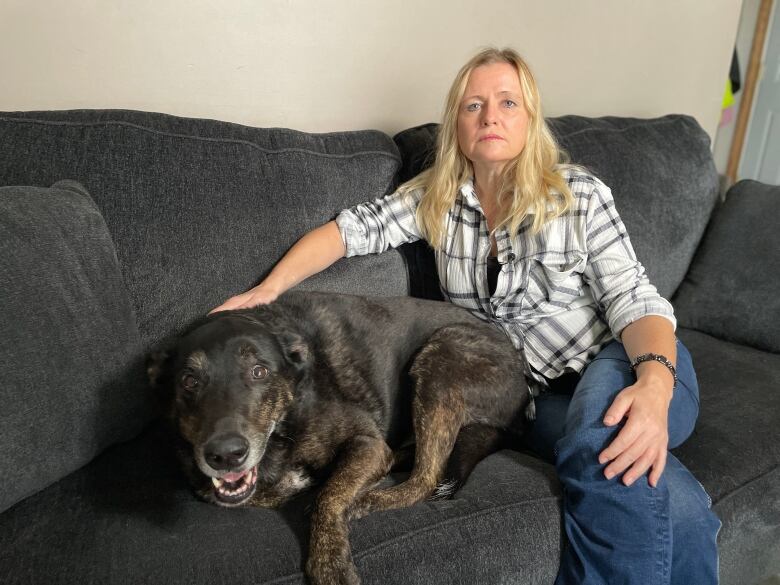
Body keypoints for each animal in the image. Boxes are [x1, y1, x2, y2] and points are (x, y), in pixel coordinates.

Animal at [151, 290, 532, 584]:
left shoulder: (368, 444)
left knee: (427, 478)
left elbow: (328, 496)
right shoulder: (208, 486)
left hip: (440, 357)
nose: (226, 454)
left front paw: (330, 563)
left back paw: (368, 500)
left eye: (259, 372)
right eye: (188, 381)